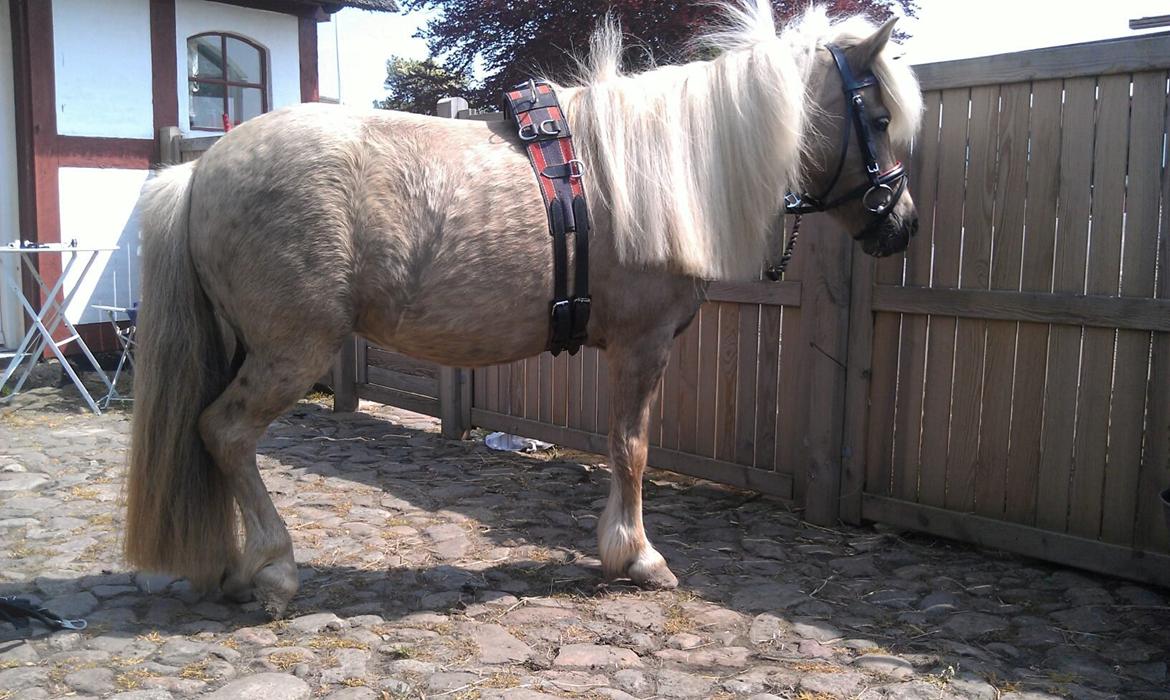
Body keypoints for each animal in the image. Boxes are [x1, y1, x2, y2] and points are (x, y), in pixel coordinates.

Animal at [121, 2, 921, 618]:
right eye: (878, 115)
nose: (901, 224)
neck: (665, 172)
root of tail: (198, 171)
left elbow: (618, 445)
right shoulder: (643, 346)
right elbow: (632, 448)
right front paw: (636, 556)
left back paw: (236, 567)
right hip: (291, 351)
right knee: (225, 433)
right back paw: (276, 568)